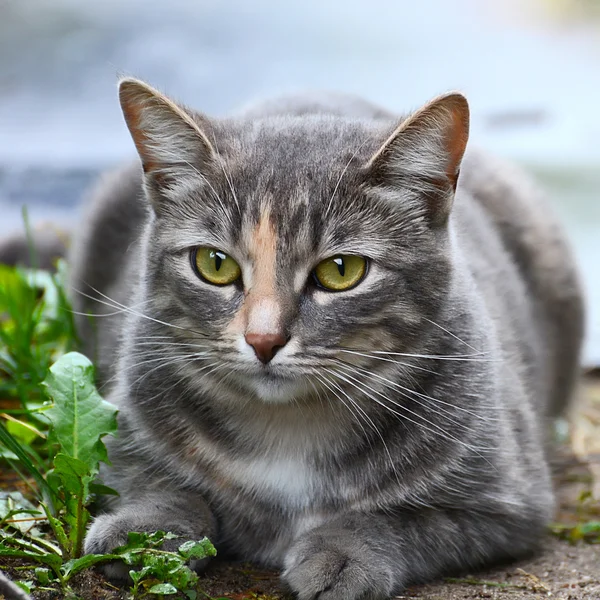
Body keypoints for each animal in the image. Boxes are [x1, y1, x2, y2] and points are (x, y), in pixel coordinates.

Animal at [68, 81, 584, 600]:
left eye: (341, 270)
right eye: (214, 263)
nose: (263, 338)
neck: (289, 429)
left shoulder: (506, 502)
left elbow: (403, 518)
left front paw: (343, 553)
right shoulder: (127, 432)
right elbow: (160, 484)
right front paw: (143, 532)